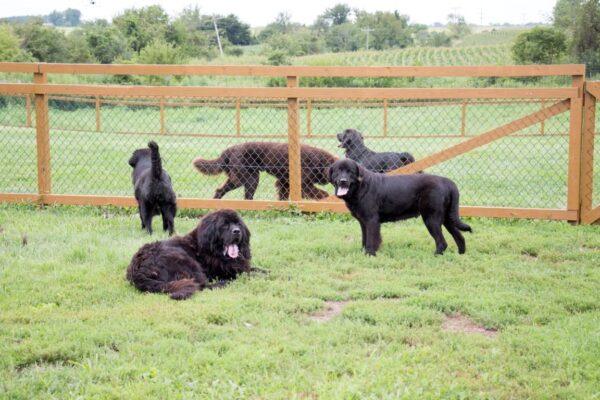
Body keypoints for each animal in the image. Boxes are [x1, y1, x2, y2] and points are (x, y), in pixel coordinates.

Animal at [328, 158, 474, 255]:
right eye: (338, 171)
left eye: (350, 172)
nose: (343, 181)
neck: (360, 187)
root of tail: (447, 181)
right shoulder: (363, 222)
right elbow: (365, 239)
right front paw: (363, 252)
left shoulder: (371, 220)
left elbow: (371, 239)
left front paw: (370, 254)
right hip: (447, 218)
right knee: (459, 237)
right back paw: (461, 254)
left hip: (431, 218)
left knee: (442, 242)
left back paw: (436, 255)